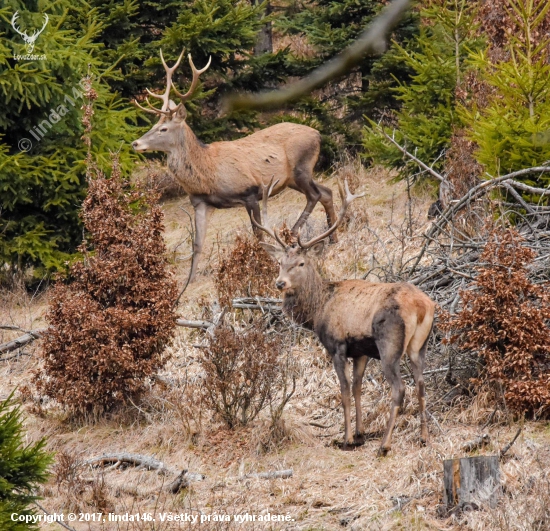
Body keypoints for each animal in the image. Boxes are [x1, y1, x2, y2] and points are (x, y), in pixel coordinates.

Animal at [134, 50, 340, 282]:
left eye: (164, 129)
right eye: (154, 125)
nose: (135, 143)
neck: (207, 173)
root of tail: (318, 134)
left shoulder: (249, 192)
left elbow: (258, 235)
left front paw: (263, 264)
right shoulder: (200, 202)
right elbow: (197, 245)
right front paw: (188, 282)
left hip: (301, 168)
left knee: (314, 195)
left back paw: (294, 234)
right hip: (292, 179)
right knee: (327, 192)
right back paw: (333, 238)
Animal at [256, 180, 438, 458]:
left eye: (301, 263)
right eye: (279, 262)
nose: (280, 283)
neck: (318, 310)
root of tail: (422, 306)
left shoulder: (337, 346)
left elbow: (343, 391)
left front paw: (347, 438)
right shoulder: (360, 351)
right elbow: (357, 388)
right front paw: (361, 433)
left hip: (390, 344)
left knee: (399, 388)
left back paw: (385, 444)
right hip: (419, 345)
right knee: (421, 383)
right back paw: (424, 437)